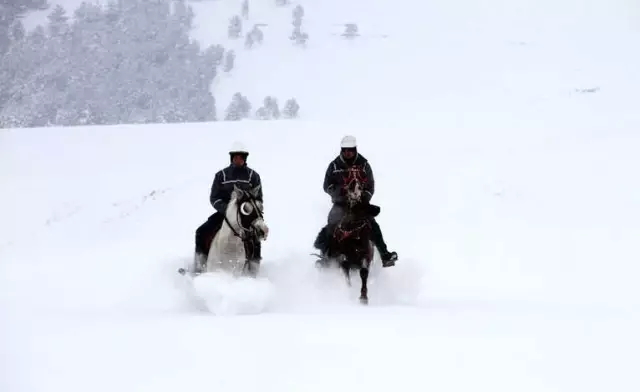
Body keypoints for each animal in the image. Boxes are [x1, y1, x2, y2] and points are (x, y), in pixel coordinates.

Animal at [316, 176, 380, 304]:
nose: (378, 208)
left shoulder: (366, 256)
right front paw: (349, 291)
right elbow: (345, 270)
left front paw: (363, 298)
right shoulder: (341, 256)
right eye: (361, 204)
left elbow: (364, 272)